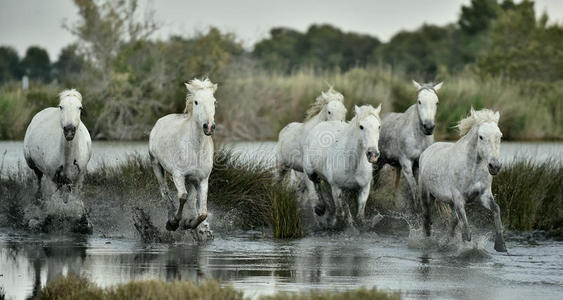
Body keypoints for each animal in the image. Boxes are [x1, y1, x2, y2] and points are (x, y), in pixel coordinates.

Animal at [149, 77, 217, 232]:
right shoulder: (178, 175)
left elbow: (202, 213)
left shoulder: (202, 180)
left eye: (214, 101)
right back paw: (170, 218)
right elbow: (182, 197)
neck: (195, 149)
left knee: (191, 199)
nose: (209, 127)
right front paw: (174, 222)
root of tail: (159, 122)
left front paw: (189, 223)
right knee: (165, 192)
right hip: (156, 164)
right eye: (196, 102)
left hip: (191, 180)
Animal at [374, 80, 446, 209]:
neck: (418, 138)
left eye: (436, 102)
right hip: (378, 161)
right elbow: (415, 191)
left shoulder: (418, 166)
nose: (428, 127)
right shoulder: (406, 164)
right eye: (419, 101)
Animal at [418, 108, 506, 251]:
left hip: (450, 204)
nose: (495, 166)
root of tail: (426, 151)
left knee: (451, 225)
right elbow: (466, 232)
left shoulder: (484, 195)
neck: (472, 169)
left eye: (500, 136)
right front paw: (466, 249)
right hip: (426, 196)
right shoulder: (459, 198)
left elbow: (496, 209)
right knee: (426, 221)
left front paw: (500, 245)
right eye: (481, 137)